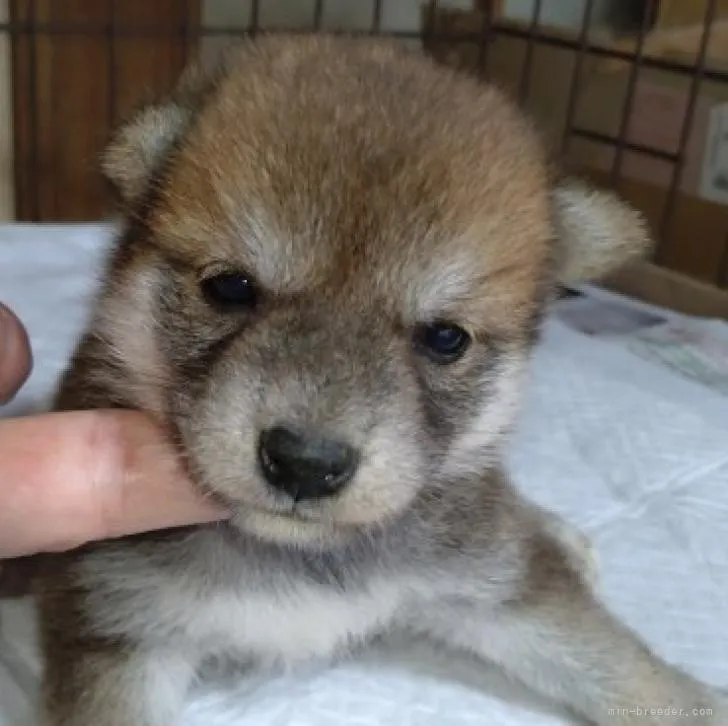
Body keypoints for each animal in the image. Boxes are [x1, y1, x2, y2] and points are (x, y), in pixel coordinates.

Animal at [38, 35, 728, 726]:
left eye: (446, 338)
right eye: (230, 287)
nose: (306, 464)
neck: (299, 555)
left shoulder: (493, 582)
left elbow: (628, 673)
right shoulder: (119, 627)